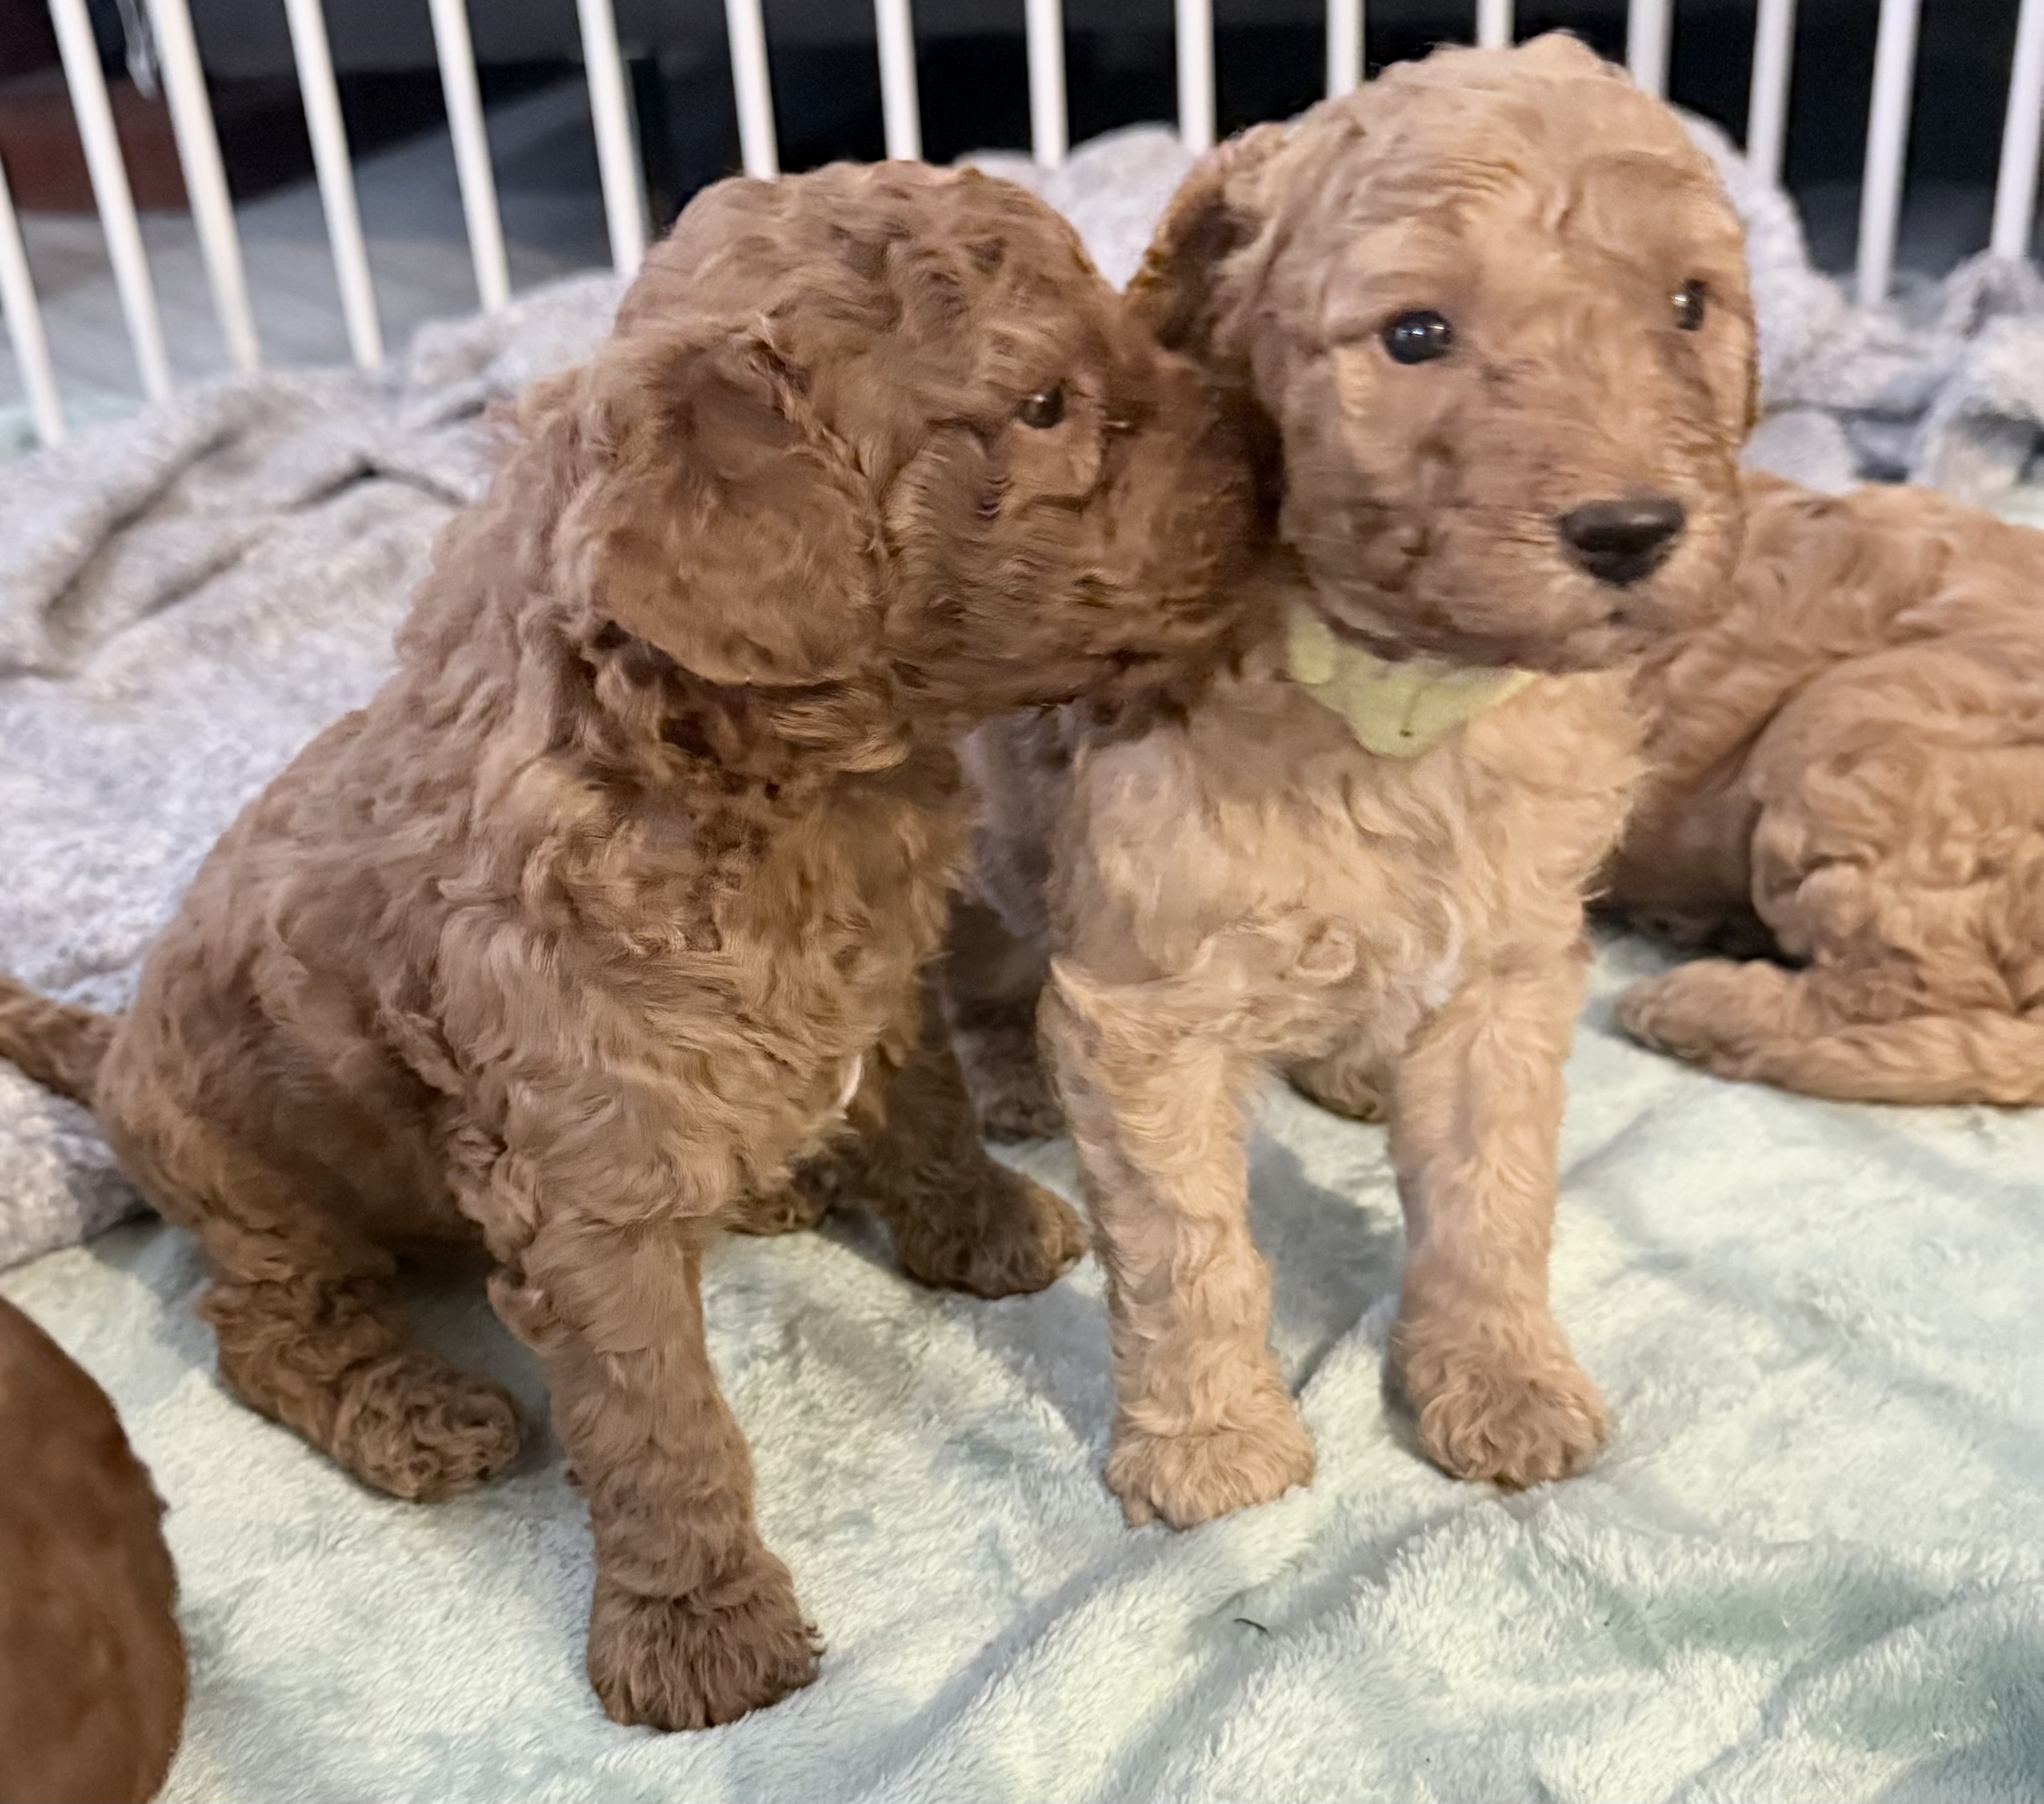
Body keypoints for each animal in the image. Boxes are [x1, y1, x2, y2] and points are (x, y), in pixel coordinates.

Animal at [0, 163, 1262, 1729]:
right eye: (1041, 404)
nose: (1272, 450)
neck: (771, 780)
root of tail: (108, 1043)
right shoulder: (578, 1173)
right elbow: (657, 1413)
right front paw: (697, 1626)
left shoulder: (882, 976)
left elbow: (929, 1106)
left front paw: (976, 1224)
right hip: (253, 1187)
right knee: (263, 1323)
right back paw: (412, 1408)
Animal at [949, 36, 1758, 1529]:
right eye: (1416, 335)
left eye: (1687, 305)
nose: (1629, 530)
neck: (1398, 700)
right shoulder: (1139, 1007)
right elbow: (1185, 1243)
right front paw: (1209, 1438)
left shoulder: (1508, 972)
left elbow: (1490, 1201)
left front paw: (1497, 1375)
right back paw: (1010, 1079)